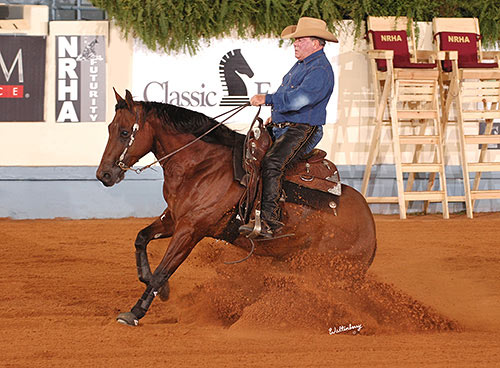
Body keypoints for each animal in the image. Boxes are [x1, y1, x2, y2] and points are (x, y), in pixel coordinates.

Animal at [95, 90, 376, 326]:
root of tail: (371, 228)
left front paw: (135, 312)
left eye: (124, 132)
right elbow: (141, 239)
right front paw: (160, 290)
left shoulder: (191, 230)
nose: (104, 174)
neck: (202, 166)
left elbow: (163, 270)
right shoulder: (174, 219)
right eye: (109, 128)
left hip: (328, 269)